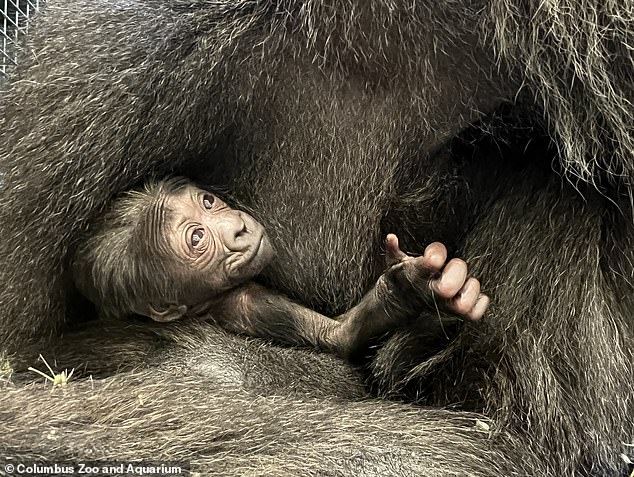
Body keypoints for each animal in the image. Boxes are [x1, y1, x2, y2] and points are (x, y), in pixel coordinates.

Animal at [74, 178, 488, 356]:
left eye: (208, 202)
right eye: (197, 239)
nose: (238, 229)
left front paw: (410, 288)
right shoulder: (242, 302)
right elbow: (339, 337)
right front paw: (406, 291)